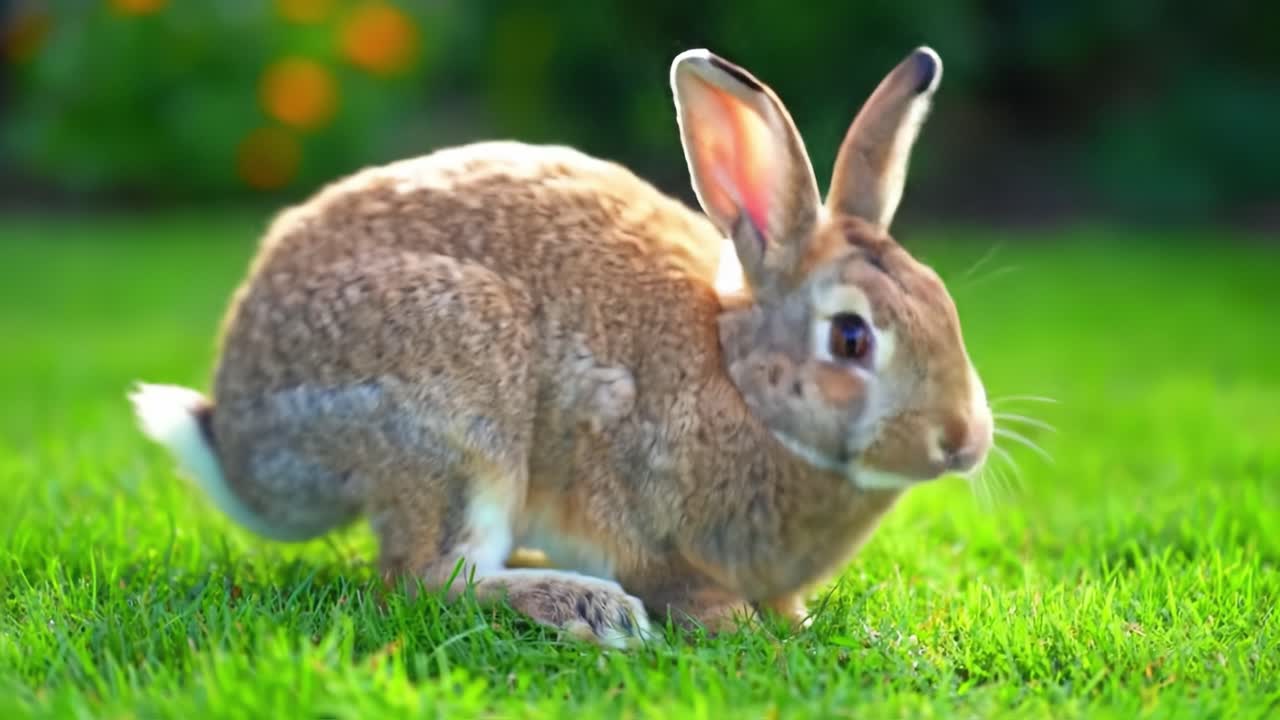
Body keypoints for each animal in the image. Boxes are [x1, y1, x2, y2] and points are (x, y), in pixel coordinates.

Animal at [130, 44, 992, 649]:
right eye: (850, 337)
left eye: (943, 302)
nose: (964, 440)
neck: (741, 382)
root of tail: (243, 441)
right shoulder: (633, 496)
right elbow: (685, 587)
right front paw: (738, 626)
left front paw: (807, 624)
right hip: (454, 412)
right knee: (427, 580)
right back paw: (590, 608)